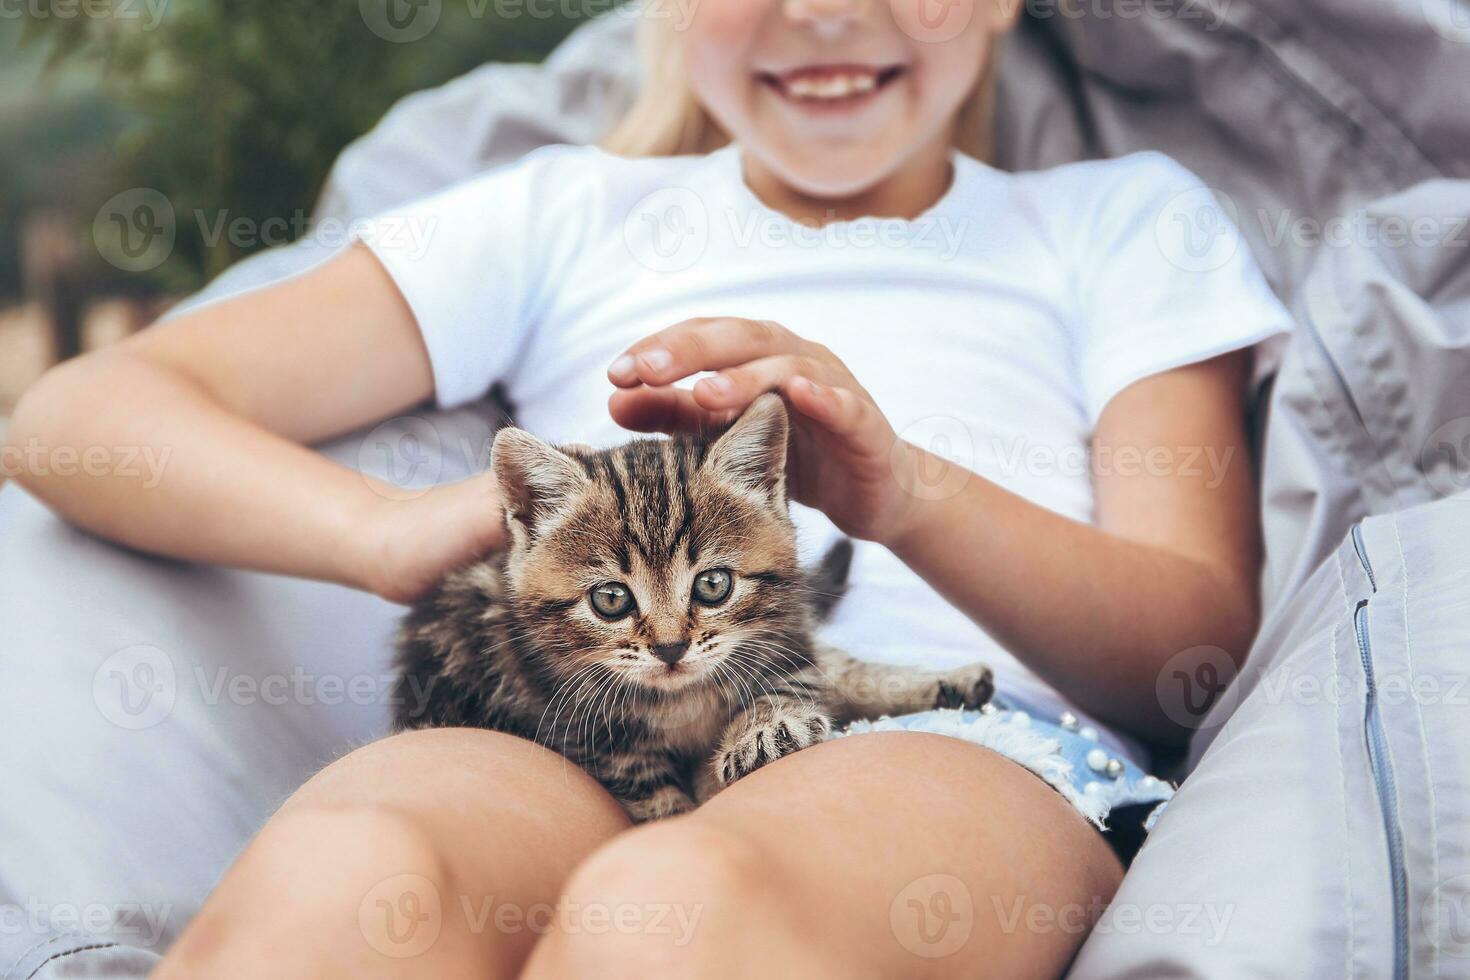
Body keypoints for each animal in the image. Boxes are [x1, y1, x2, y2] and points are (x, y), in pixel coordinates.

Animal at [391, 393, 993, 822]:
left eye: (713, 585)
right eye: (610, 599)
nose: (670, 647)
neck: (682, 700)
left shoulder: (782, 642)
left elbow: (793, 686)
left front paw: (764, 731)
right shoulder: (577, 727)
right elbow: (656, 798)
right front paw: (688, 799)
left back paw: (955, 682)